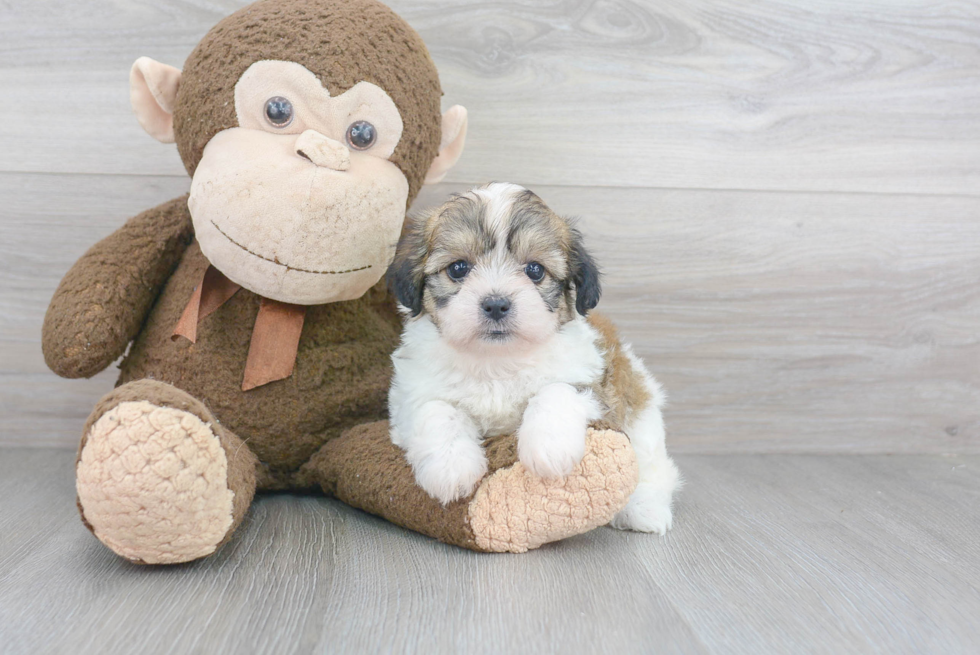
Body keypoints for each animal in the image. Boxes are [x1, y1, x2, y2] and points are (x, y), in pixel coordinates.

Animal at [386, 183, 676, 532]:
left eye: (534, 270)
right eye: (458, 268)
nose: (496, 304)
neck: (497, 360)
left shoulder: (592, 385)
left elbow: (556, 391)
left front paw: (549, 447)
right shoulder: (411, 394)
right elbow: (436, 410)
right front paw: (451, 466)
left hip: (642, 419)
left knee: (653, 468)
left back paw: (644, 508)